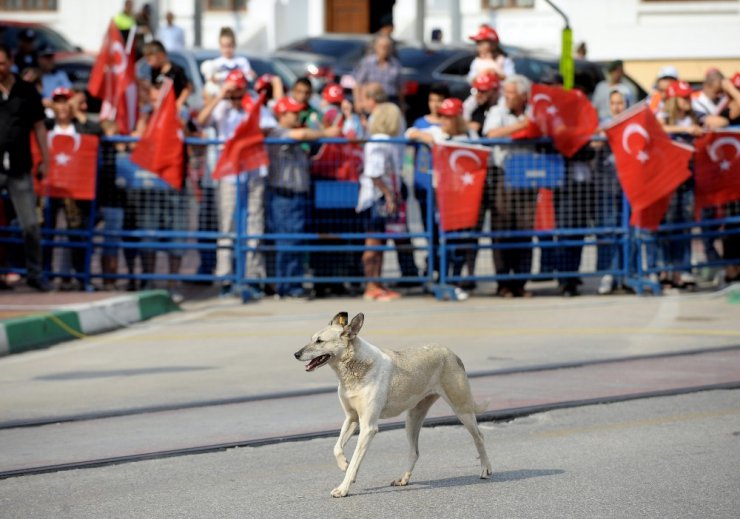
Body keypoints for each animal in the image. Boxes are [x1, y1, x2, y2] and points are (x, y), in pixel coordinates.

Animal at [294, 312, 492, 500]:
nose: (296, 354)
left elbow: (356, 460)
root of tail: (452, 353)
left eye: (320, 341)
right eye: (312, 338)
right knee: (414, 452)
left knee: (479, 437)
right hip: (412, 419)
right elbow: (337, 448)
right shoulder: (352, 418)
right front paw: (344, 464)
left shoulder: (368, 427)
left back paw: (485, 469)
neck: (354, 367)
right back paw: (403, 479)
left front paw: (343, 488)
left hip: (462, 409)